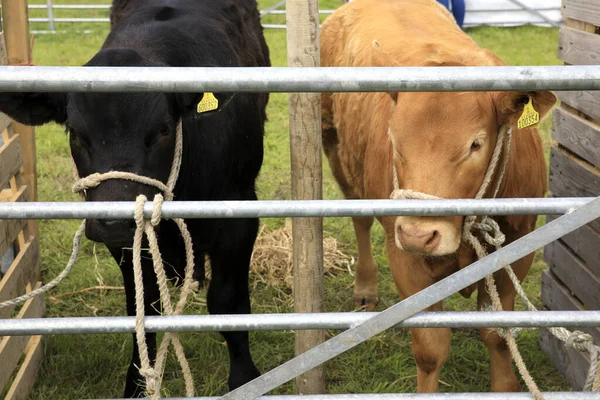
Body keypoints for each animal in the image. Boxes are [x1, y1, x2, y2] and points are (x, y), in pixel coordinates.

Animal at [0, 0, 270, 396]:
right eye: (75, 132)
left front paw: (244, 379)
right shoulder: (126, 244)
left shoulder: (240, 214)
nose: (114, 221)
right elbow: (143, 307)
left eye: (163, 129)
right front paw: (138, 385)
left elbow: (229, 302)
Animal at [322, 0, 556, 394]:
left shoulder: (518, 244)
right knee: (360, 219)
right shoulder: (403, 254)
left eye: (475, 144)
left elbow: (497, 333)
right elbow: (430, 348)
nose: (419, 234)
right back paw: (365, 286)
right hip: (336, 151)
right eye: (394, 140)